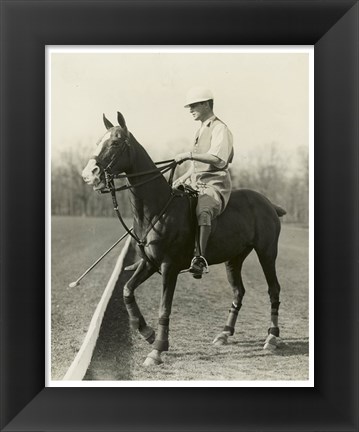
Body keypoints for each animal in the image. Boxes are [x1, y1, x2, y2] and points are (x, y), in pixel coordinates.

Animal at [81, 110, 286, 364]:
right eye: (98, 141)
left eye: (116, 142)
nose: (88, 174)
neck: (157, 209)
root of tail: (269, 203)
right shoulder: (149, 263)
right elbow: (127, 291)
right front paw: (147, 332)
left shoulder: (169, 266)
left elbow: (164, 308)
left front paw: (157, 349)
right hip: (234, 258)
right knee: (238, 291)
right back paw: (224, 334)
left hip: (267, 252)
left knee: (274, 289)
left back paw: (272, 337)